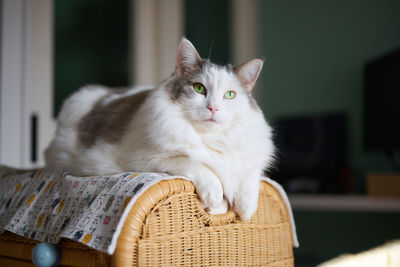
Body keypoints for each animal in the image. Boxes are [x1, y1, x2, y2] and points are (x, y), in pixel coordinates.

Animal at [45, 38, 274, 222]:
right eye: (199, 88)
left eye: (229, 95)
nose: (213, 108)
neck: (210, 138)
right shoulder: (148, 159)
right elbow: (199, 166)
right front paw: (215, 198)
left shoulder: (249, 158)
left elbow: (251, 176)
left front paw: (246, 209)